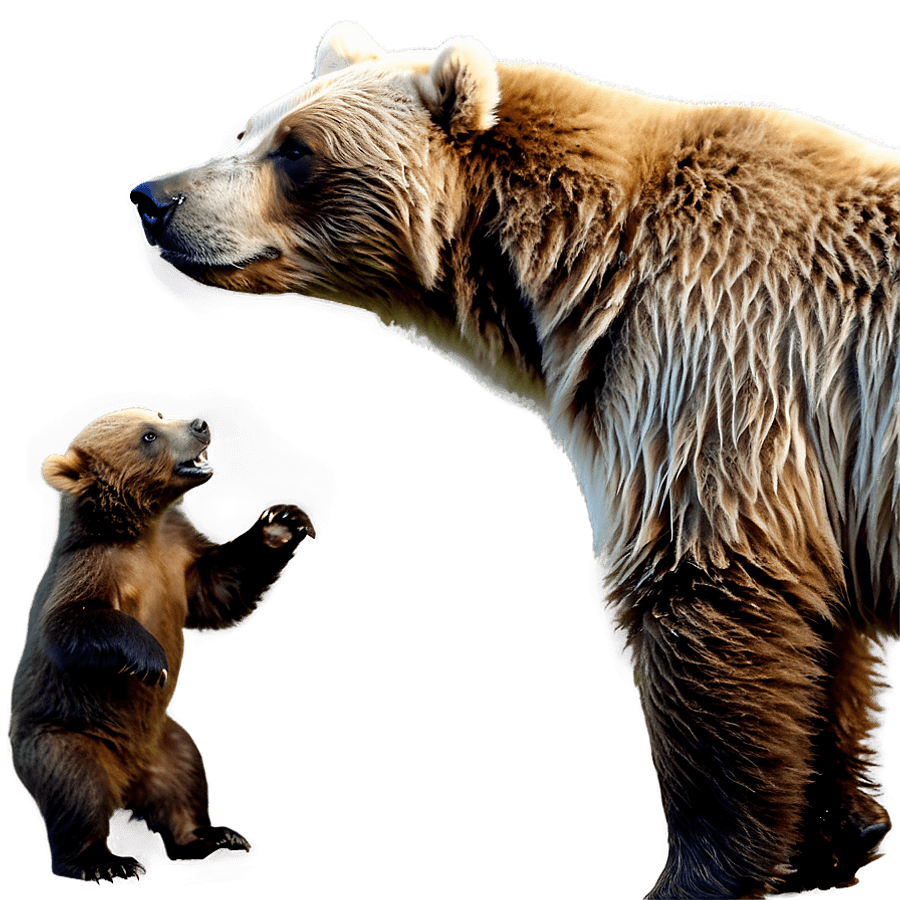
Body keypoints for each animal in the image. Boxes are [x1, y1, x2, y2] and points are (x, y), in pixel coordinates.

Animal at [10, 407, 315, 882]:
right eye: (149, 435)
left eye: (155, 413)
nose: (201, 424)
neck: (141, 533)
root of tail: (128, 777)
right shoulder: (92, 567)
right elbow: (69, 623)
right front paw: (150, 657)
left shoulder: (179, 556)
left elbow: (220, 589)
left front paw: (282, 523)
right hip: (68, 734)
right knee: (77, 789)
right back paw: (103, 861)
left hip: (166, 742)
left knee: (185, 781)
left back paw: (212, 836)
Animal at [129, 22, 899, 898]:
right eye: (245, 131)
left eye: (295, 150)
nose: (155, 198)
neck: (575, 279)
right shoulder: (817, 465)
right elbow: (825, 627)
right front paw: (833, 838)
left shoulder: (713, 368)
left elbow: (706, 595)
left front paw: (698, 873)